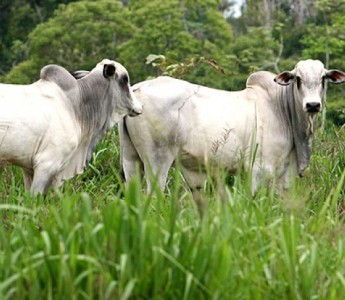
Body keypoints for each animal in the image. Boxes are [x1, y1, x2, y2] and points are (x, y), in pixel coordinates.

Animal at [119, 59, 344, 193]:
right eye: (298, 78)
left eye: (323, 78)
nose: (313, 105)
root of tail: (136, 89)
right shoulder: (259, 169)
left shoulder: (285, 175)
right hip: (157, 160)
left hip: (130, 159)